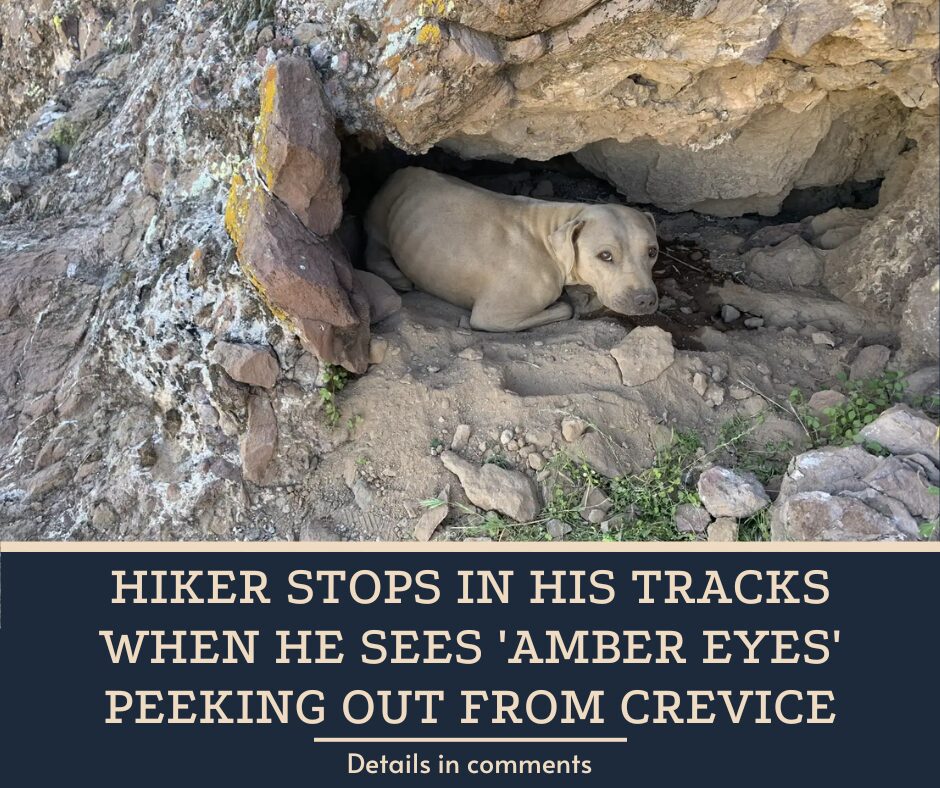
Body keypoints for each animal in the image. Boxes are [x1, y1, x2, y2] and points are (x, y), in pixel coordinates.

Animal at [364, 166, 656, 330]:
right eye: (605, 255)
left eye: (652, 252)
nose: (645, 299)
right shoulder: (492, 316)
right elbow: (565, 309)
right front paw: (567, 303)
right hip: (380, 219)